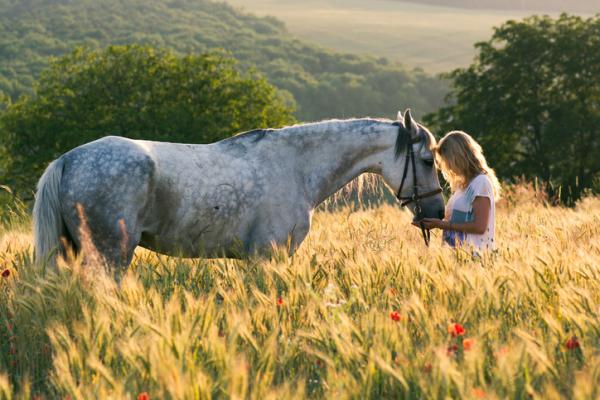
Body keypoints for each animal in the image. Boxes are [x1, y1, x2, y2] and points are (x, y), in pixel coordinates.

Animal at [32, 110, 446, 272]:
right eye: (427, 160)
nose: (437, 213)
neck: (296, 166)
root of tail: (69, 159)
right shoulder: (269, 256)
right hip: (110, 255)